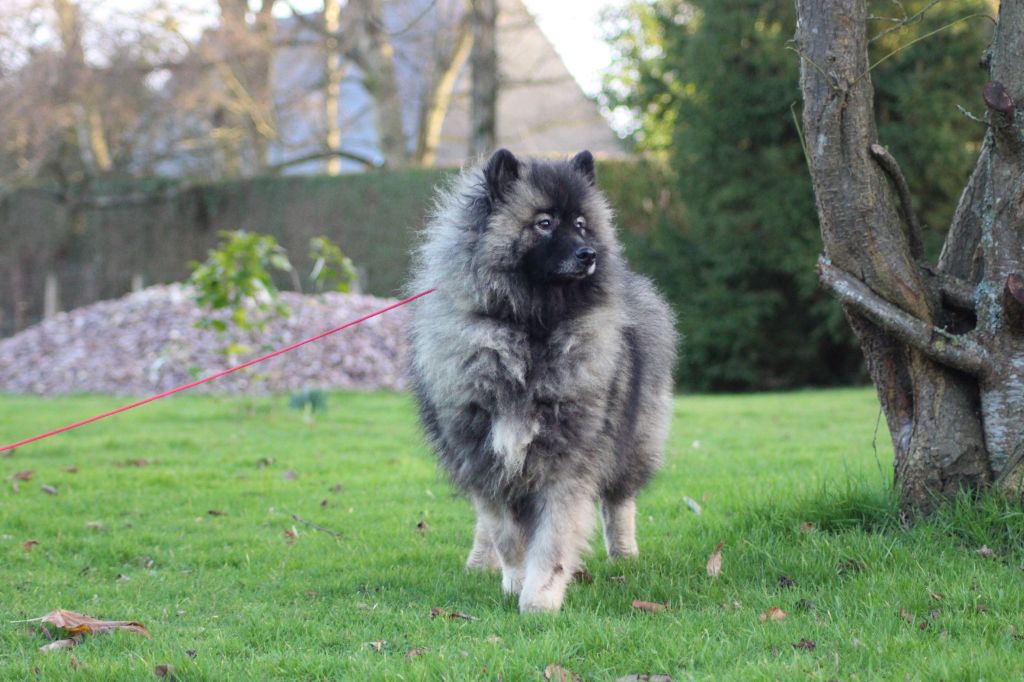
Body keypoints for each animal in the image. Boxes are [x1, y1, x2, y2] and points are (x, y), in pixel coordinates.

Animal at [407, 147, 679, 610]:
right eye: (545, 223)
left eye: (581, 223)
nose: (588, 254)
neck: (530, 330)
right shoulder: (486, 461)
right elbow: (506, 535)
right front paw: (515, 581)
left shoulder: (565, 462)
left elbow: (552, 540)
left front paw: (539, 601)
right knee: (484, 524)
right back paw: (480, 563)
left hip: (634, 438)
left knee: (620, 502)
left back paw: (624, 555)